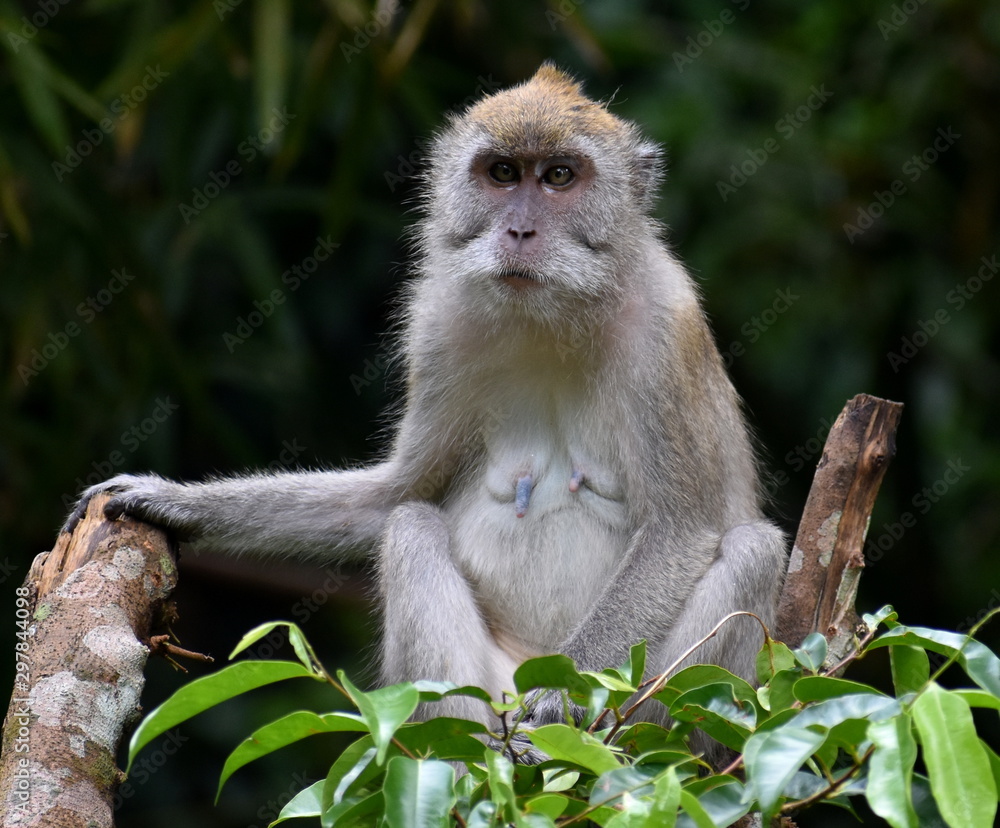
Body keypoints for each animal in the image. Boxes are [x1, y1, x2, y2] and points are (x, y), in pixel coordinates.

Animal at [70, 64, 788, 764]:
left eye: (560, 176)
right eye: (503, 174)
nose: (519, 231)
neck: (553, 317)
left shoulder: (667, 331)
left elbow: (678, 532)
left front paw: (557, 697)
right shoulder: (438, 326)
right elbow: (396, 496)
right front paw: (179, 503)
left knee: (755, 551)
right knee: (412, 528)